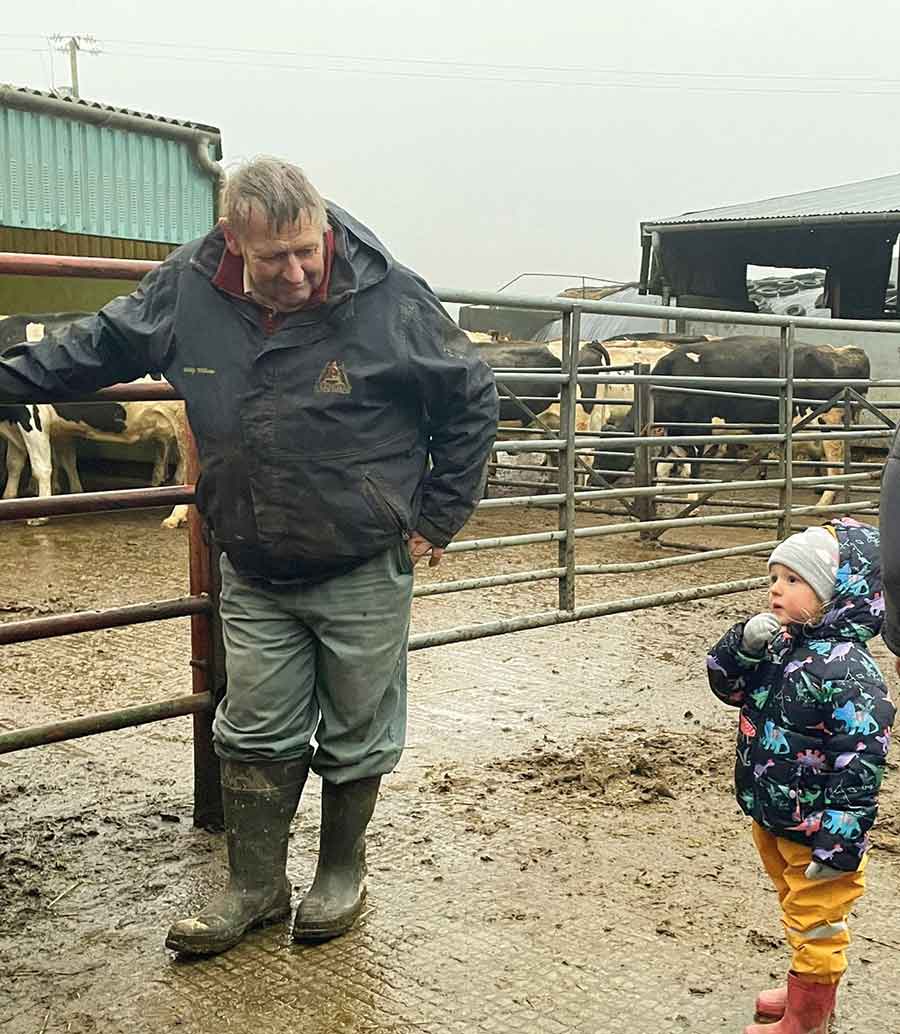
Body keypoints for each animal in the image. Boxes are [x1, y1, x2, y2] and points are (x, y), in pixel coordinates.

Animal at [604, 337, 868, 510]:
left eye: (610, 452)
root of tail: (841, 352)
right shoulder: (674, 433)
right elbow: (663, 467)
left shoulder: (697, 431)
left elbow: (692, 469)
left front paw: (692, 504)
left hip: (829, 424)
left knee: (836, 462)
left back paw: (824, 501)